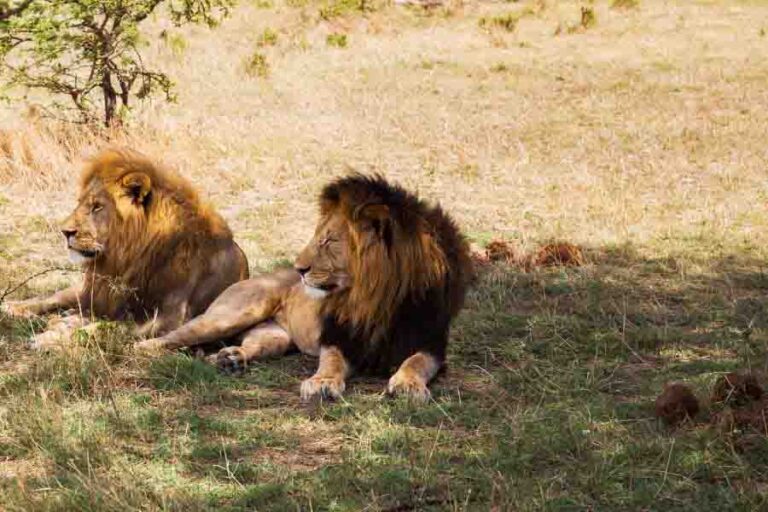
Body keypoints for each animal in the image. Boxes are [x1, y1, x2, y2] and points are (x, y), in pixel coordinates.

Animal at [1, 147, 249, 344]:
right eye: (80, 203)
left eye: (97, 206)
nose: (65, 232)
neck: (128, 256)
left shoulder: (169, 318)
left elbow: (105, 328)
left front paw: (51, 337)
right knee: (55, 296)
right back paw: (12, 306)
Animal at [137, 174, 473, 401]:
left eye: (329, 241)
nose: (299, 269)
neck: (376, 299)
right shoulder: (338, 338)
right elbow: (332, 361)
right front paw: (322, 383)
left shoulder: (430, 343)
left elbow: (416, 362)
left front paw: (408, 385)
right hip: (231, 314)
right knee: (167, 337)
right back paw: (148, 352)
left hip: (274, 337)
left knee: (251, 345)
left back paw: (230, 359)